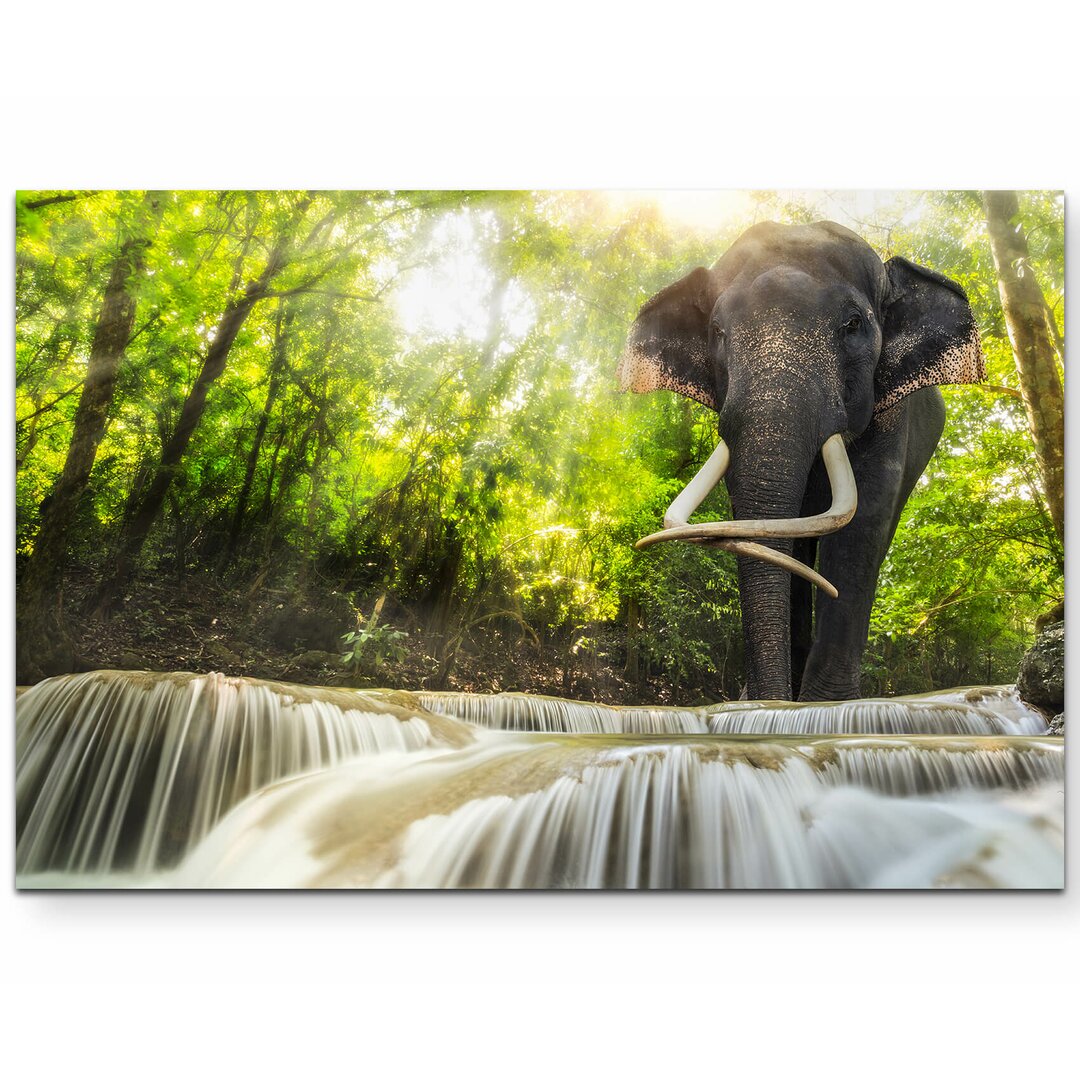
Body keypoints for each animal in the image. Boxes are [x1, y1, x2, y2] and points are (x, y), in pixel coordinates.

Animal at [622, 223, 984, 704]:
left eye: (854, 324)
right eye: (717, 331)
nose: (761, 699)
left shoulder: (890, 414)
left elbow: (863, 520)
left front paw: (826, 705)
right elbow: (762, 527)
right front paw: (763, 702)